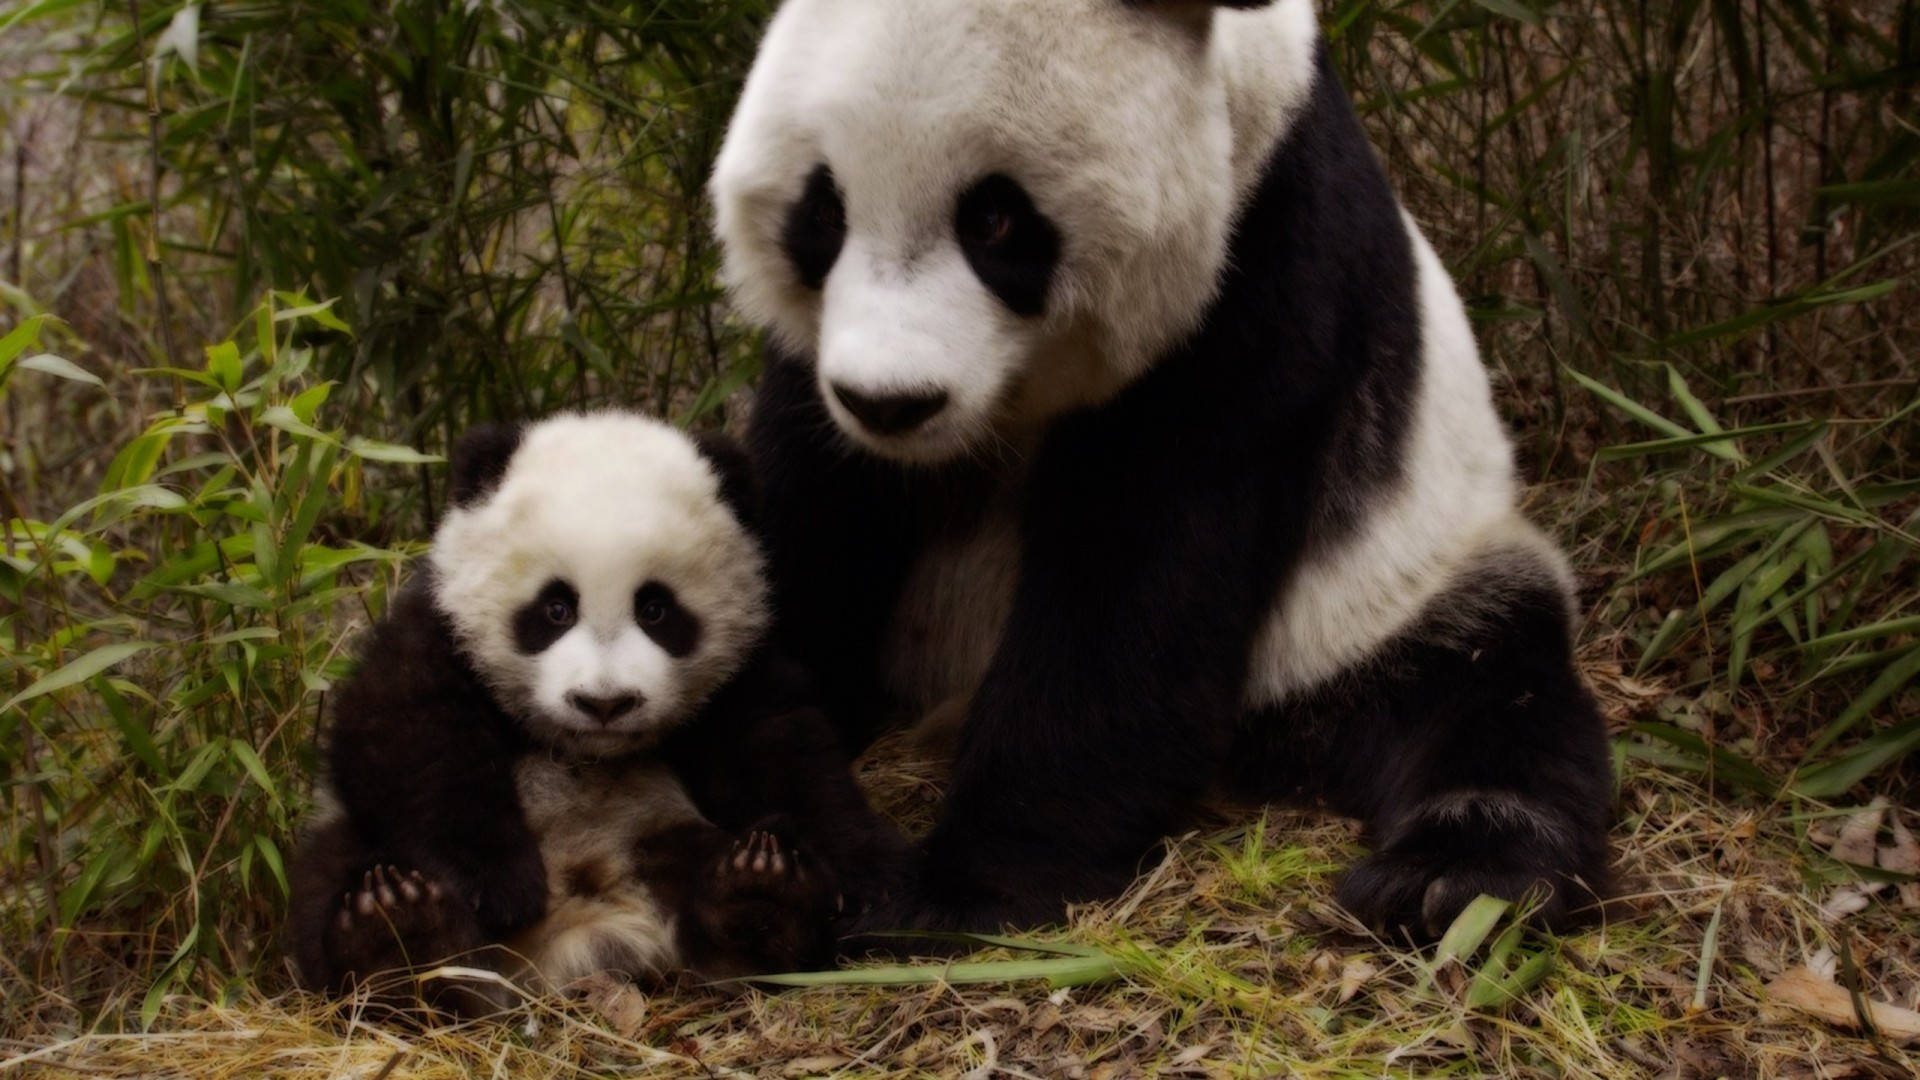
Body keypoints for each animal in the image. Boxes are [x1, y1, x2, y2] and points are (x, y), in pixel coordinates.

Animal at [288, 412, 903, 1014]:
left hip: (654, 832)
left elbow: (784, 750)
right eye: (555, 608)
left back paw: (761, 898)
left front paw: (867, 884)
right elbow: (406, 735)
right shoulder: (437, 627)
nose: (605, 702)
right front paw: (497, 885)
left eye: (655, 609)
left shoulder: (740, 668)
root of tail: (572, 941)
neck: (584, 750)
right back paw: (397, 939)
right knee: (330, 873)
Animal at [707, 0, 1613, 941]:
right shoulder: (816, 374)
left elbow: (1138, 578)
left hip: (1393, 588)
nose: (889, 403)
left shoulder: (1261, 259)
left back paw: (1450, 879)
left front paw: (962, 889)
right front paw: (786, 839)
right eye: (824, 212)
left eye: (993, 220)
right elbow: (811, 514)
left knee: (1486, 691)